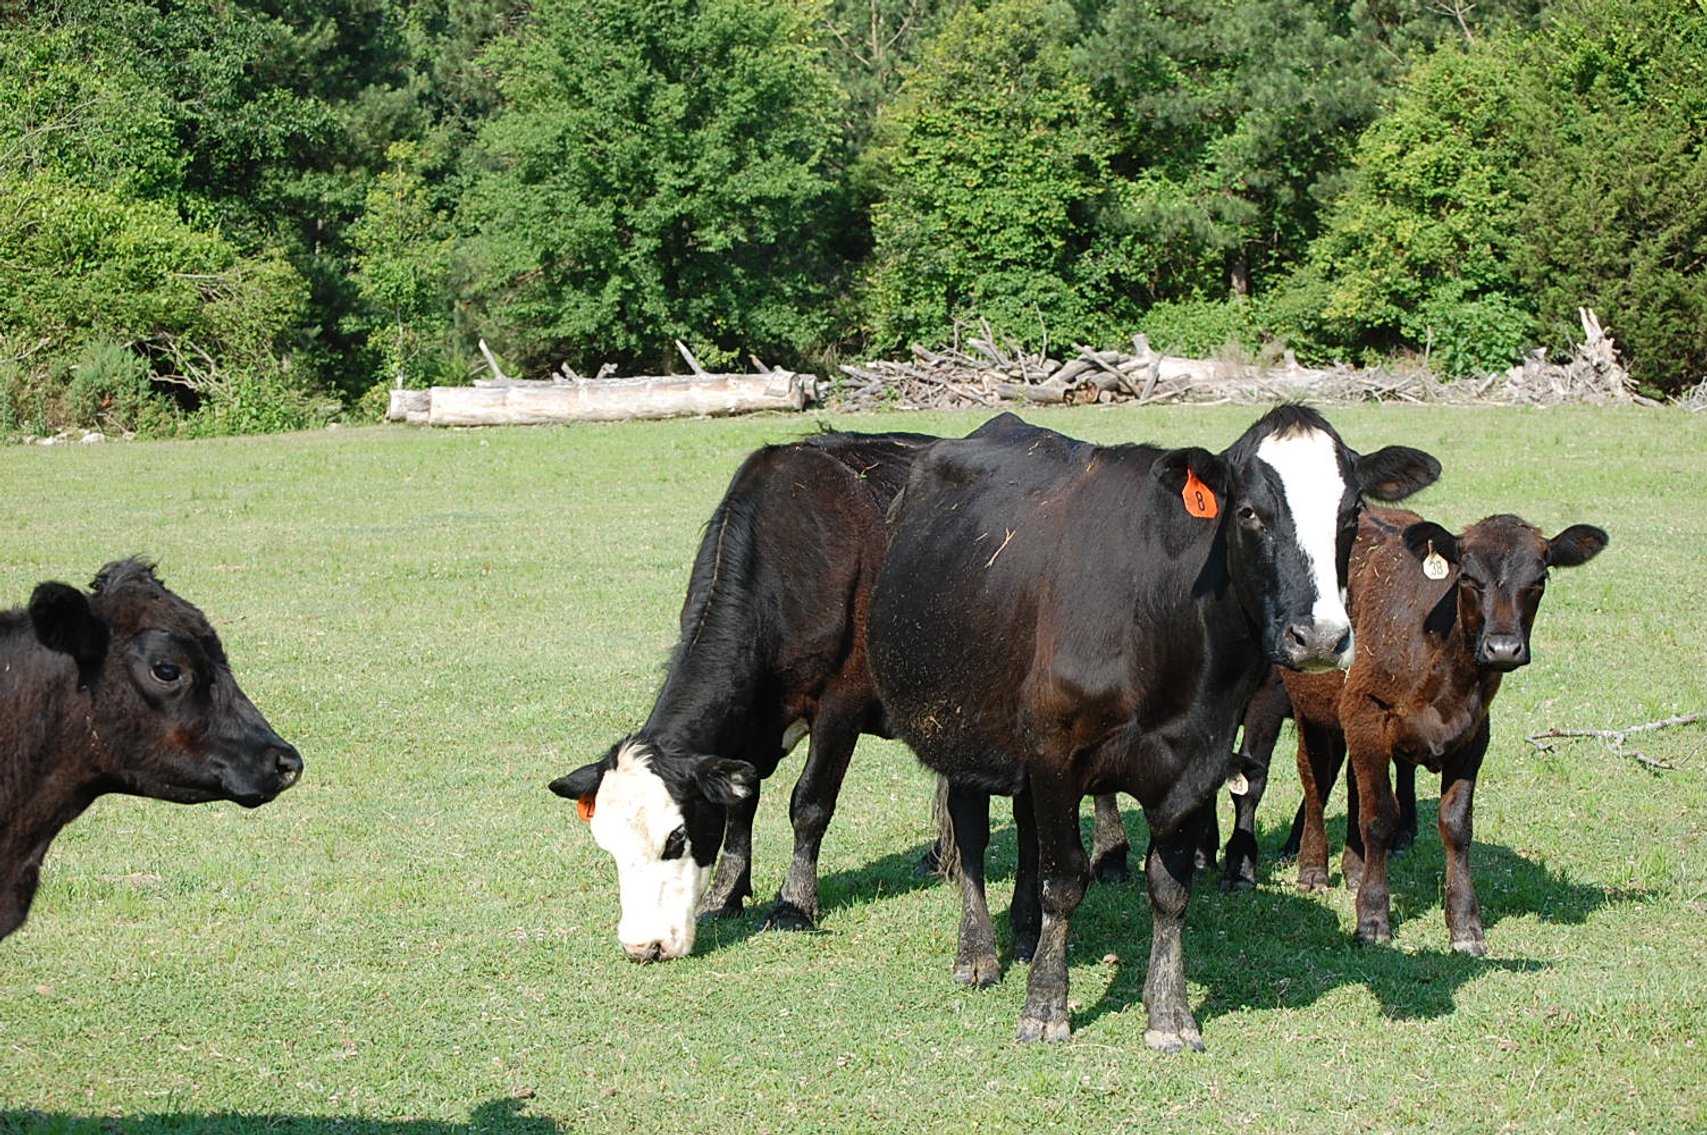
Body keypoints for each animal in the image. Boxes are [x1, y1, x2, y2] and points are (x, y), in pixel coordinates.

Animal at [549, 431, 934, 963]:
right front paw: (724, 896)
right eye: (607, 845)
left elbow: (810, 803)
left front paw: (794, 904)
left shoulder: (843, 702)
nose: (642, 946)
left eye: (677, 838)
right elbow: (739, 805)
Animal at [867, 407, 1440, 1048]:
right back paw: (978, 952)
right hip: (961, 727)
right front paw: (1045, 1004)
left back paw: (1024, 931)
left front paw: (1169, 1011)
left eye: (1351, 514)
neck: (1159, 625)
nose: (1318, 637)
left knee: (1027, 827)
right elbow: (1065, 879)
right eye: (1248, 512)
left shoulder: (1198, 760)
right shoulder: (1055, 748)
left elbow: (1169, 889)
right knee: (969, 836)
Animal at [1282, 507, 1606, 953]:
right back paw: (1313, 868)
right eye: (1467, 577)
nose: (1502, 649)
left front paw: (1466, 925)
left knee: (1352, 784)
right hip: (1312, 707)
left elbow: (1455, 826)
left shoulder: (1474, 735)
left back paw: (1354, 868)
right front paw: (1373, 919)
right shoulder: (1367, 714)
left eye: (1539, 579)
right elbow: (1378, 818)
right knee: (1315, 779)